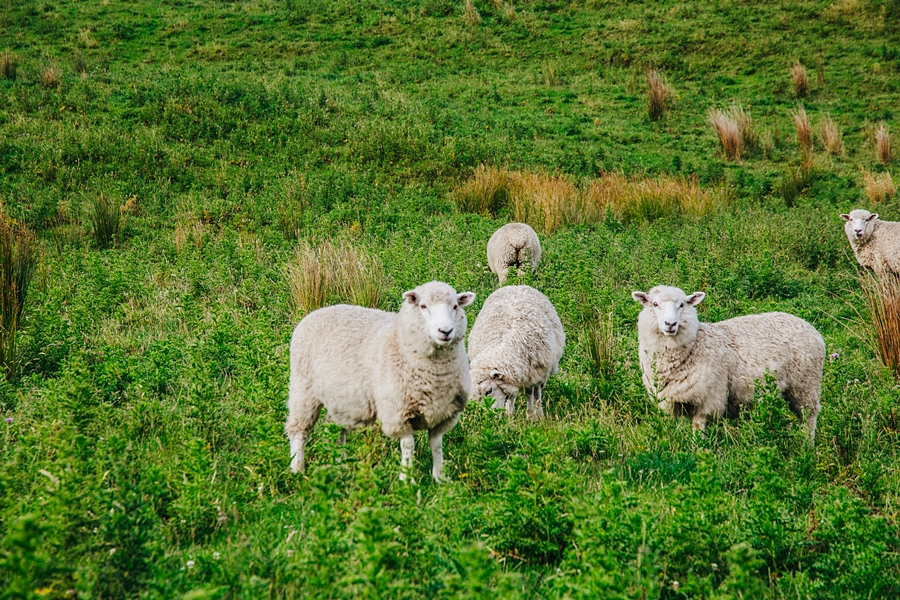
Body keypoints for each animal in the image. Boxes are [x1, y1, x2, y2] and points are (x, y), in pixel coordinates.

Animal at [284, 282, 474, 482]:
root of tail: (320, 310)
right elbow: (408, 445)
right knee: (299, 431)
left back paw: (340, 466)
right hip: (303, 389)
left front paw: (440, 478)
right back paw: (297, 468)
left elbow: (436, 445)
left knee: (336, 430)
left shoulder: (445, 413)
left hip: (341, 400)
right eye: (423, 306)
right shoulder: (398, 412)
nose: (445, 331)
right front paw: (407, 480)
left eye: (455, 306)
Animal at [468, 284, 568, 418]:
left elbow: (531, 393)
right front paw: (510, 414)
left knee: (535, 392)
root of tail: (516, 285)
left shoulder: (533, 373)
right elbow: (511, 396)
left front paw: (532, 415)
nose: (491, 417)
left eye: (489, 391)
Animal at [628, 286, 828, 440]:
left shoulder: (708, 399)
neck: (694, 345)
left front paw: (697, 452)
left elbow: (698, 430)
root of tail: (810, 327)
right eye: (654, 304)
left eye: (682, 305)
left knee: (809, 418)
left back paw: (807, 448)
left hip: (805, 385)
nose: (670, 324)